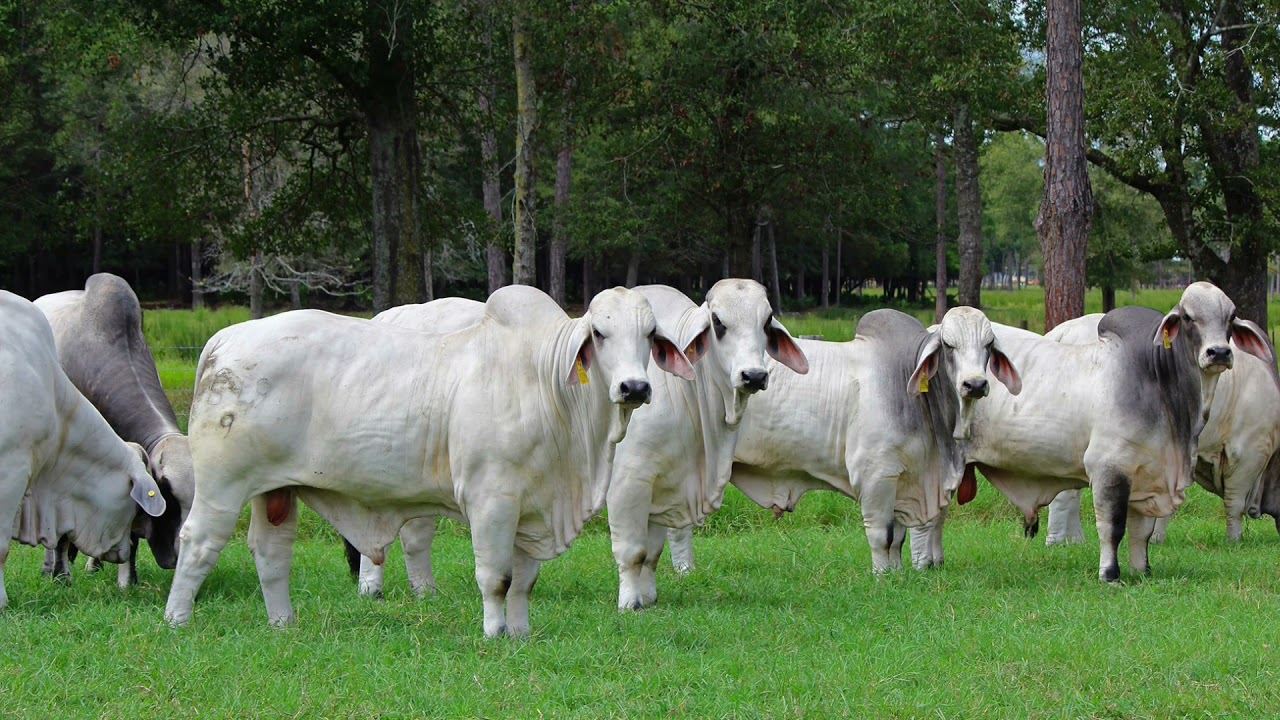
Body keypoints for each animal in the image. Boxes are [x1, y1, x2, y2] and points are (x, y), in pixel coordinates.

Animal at [163, 286, 694, 637]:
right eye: (599, 333)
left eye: (650, 333)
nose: (634, 387)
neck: (544, 383)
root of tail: (224, 340)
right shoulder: (491, 500)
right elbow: (496, 578)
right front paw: (495, 633)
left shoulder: (533, 507)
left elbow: (524, 581)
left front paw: (521, 632)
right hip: (222, 486)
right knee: (199, 542)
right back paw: (177, 620)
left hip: (274, 490)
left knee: (272, 553)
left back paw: (283, 624)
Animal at [668, 306, 1022, 574]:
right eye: (949, 345)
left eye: (989, 345)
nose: (975, 384)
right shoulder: (876, 474)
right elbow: (882, 536)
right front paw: (882, 577)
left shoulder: (903, 478)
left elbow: (898, 537)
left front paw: (897, 574)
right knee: (677, 524)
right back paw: (685, 572)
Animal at [1043, 312, 1280, 545]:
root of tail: (1063, 331)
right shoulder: (1248, 453)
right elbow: (1235, 505)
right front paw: (1235, 540)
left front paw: (1156, 537)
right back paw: (1065, 539)